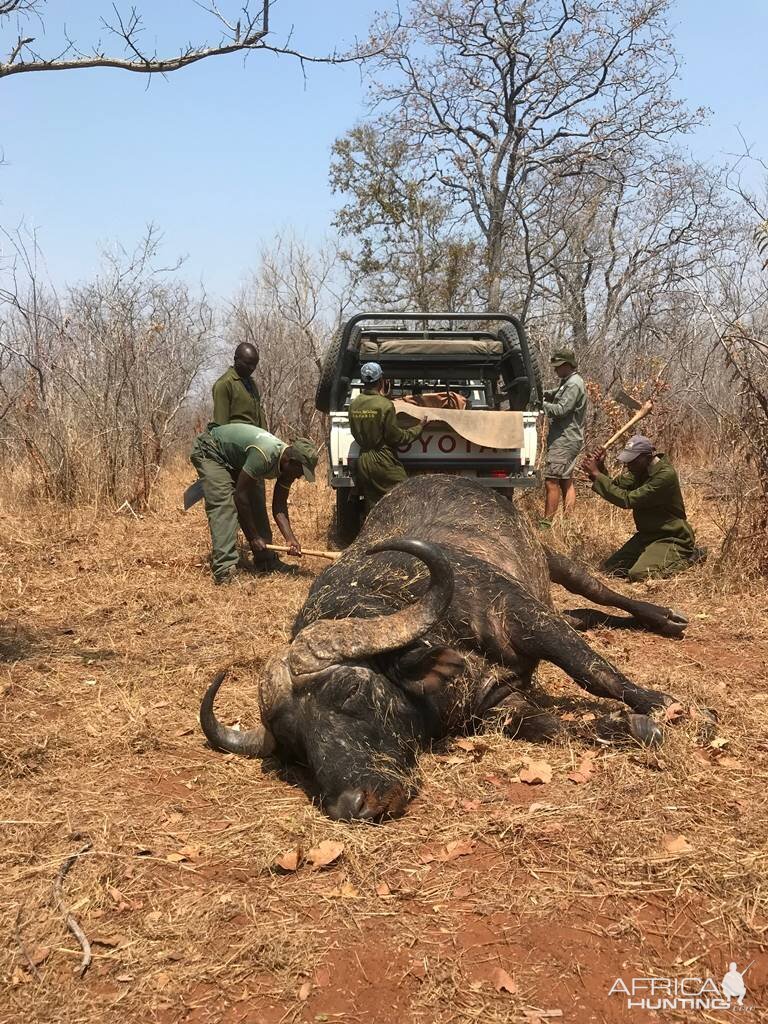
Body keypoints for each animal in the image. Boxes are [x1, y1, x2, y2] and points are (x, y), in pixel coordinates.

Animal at [201, 475, 696, 819]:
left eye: (352, 690)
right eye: (295, 746)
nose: (352, 805)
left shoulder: (522, 615)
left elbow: (592, 669)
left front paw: (668, 707)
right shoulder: (497, 702)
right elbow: (553, 727)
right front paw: (632, 726)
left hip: (553, 560)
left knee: (597, 591)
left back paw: (665, 619)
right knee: (581, 615)